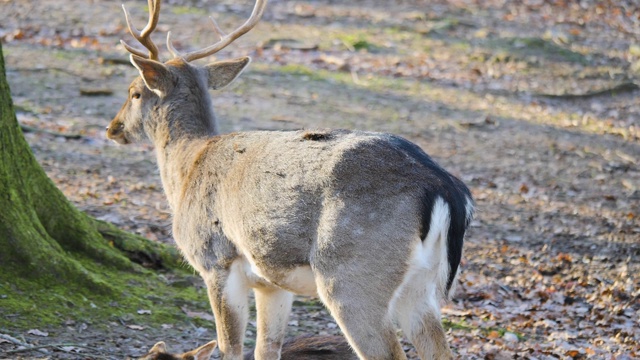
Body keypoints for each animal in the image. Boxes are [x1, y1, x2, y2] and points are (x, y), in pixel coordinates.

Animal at [106, 1, 476, 358]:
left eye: (135, 92)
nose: (113, 128)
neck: (187, 167)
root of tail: (443, 186)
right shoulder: (271, 283)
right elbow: (266, 349)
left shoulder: (216, 260)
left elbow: (230, 348)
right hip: (421, 286)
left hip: (352, 275)